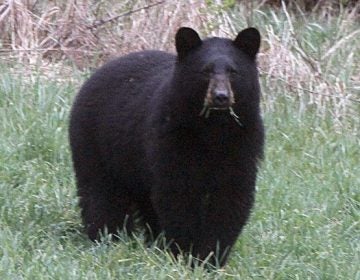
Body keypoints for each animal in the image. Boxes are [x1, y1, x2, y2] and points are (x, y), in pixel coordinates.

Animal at [69, 26, 264, 266]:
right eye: (205, 71)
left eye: (233, 72)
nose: (221, 97)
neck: (213, 130)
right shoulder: (171, 139)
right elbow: (177, 195)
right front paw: (184, 253)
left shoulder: (243, 144)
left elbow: (231, 199)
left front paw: (211, 257)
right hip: (96, 142)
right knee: (100, 193)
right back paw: (107, 236)